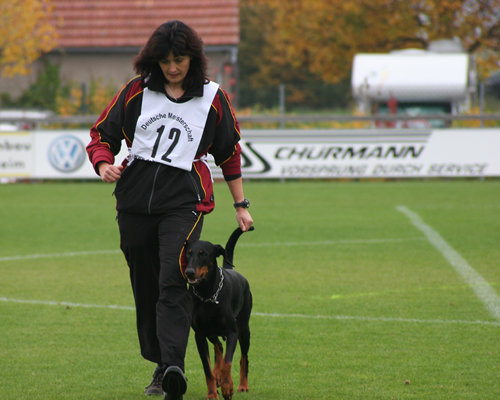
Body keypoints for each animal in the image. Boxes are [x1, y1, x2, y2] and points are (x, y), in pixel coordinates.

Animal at [185, 227, 254, 398]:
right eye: (188, 253)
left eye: (203, 253)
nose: (189, 272)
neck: (207, 294)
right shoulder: (199, 335)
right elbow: (207, 368)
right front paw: (212, 393)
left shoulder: (232, 332)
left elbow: (228, 363)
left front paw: (227, 386)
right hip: (211, 331)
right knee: (219, 347)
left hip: (244, 329)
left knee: (243, 358)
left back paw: (242, 385)